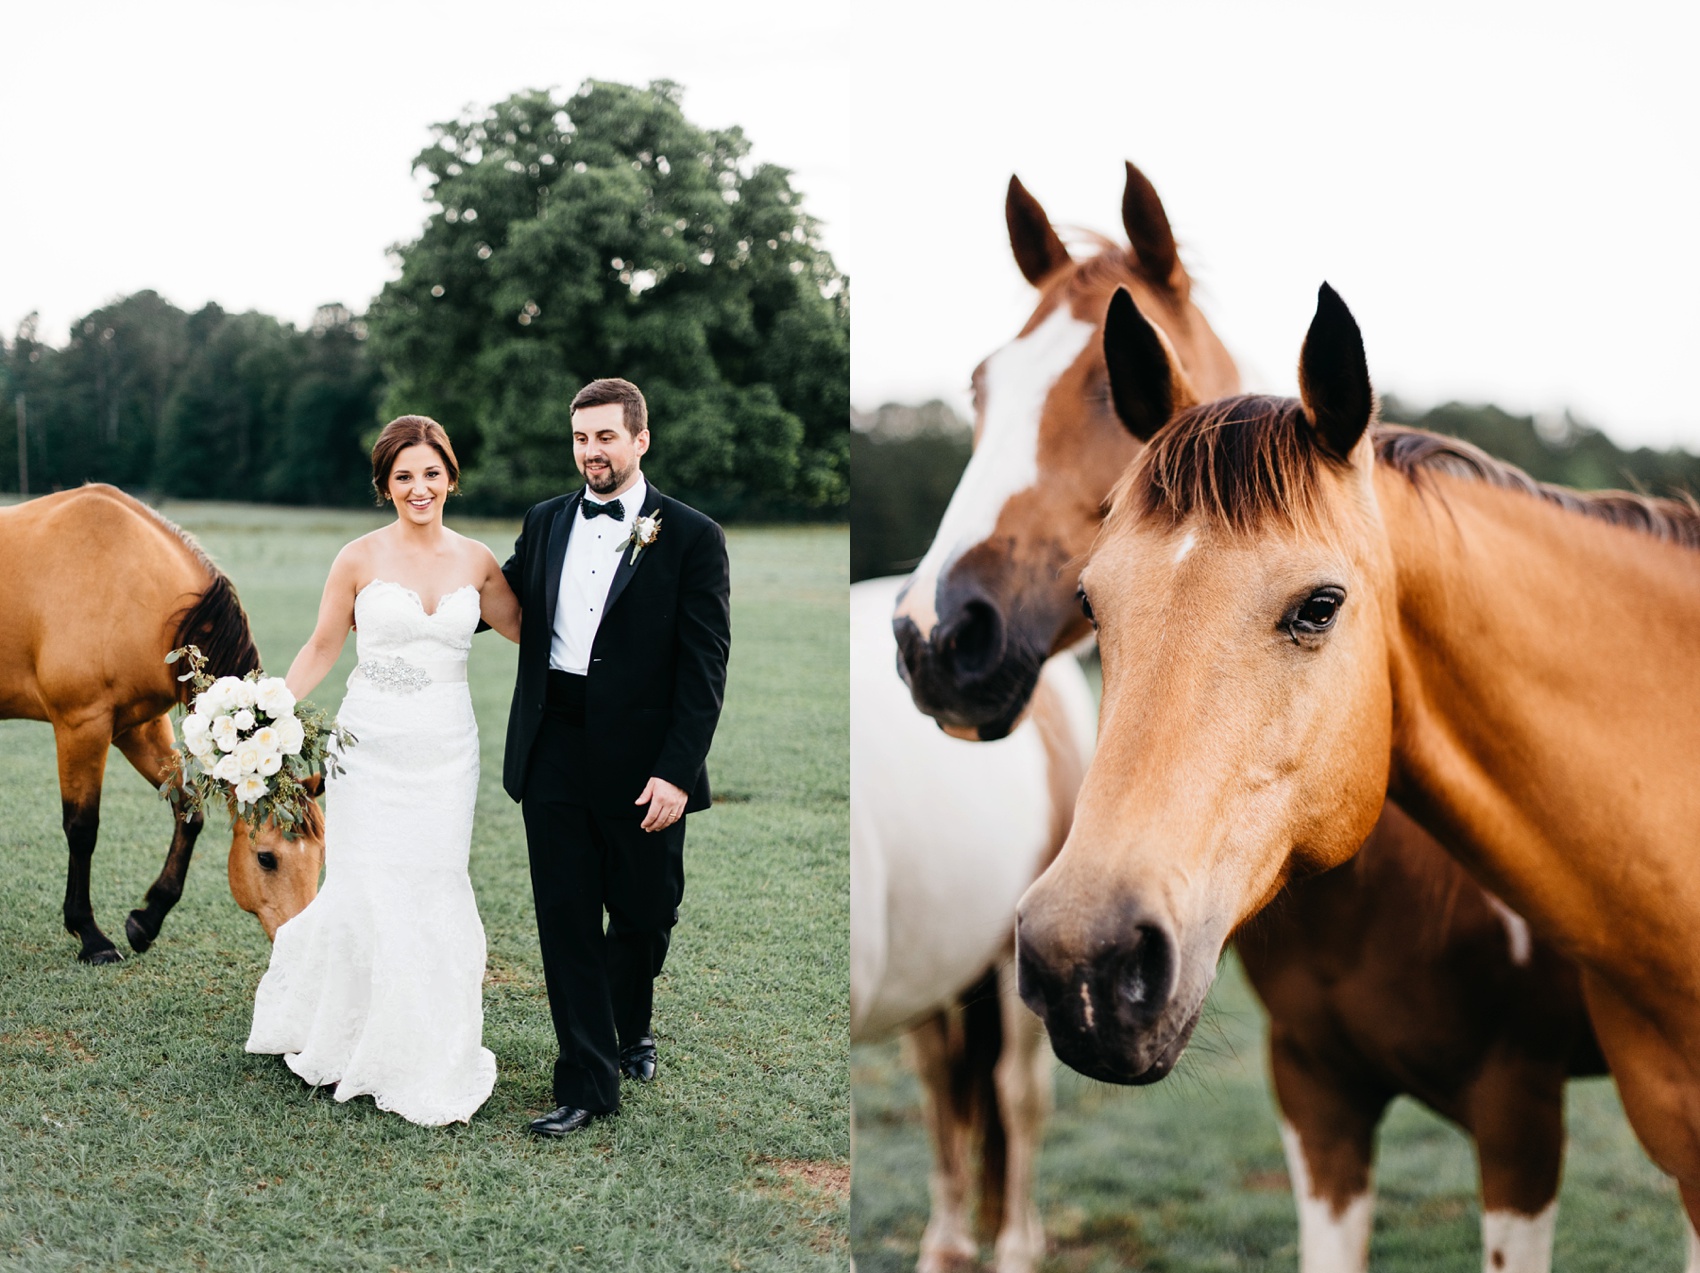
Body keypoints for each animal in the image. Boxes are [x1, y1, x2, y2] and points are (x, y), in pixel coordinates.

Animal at [0, 486, 323, 965]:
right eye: (267, 859)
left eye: (321, 858)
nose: (301, 950)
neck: (129, 590)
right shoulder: (82, 726)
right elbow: (82, 828)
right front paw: (90, 935)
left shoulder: (138, 728)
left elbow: (188, 812)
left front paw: (146, 920)